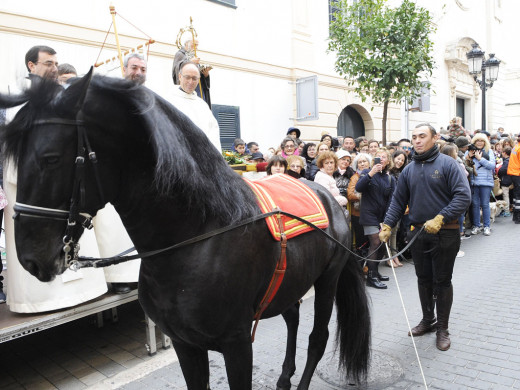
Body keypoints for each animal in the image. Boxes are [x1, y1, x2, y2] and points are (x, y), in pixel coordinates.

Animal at [0, 71, 370, 388]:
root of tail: (329, 196)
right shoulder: (184, 344)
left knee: (317, 338)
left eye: (49, 158)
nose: (31, 258)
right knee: (292, 316)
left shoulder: (237, 344)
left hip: (327, 280)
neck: (197, 240)